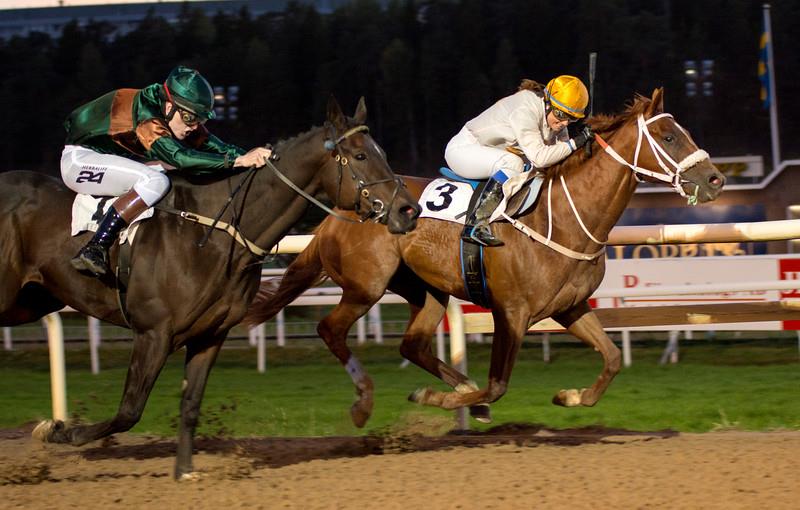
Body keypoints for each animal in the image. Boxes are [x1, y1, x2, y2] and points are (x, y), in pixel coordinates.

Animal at [0, 94, 422, 478]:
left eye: (382, 152)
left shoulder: (210, 335)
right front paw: (56, 431)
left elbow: (190, 405)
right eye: (361, 156)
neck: (215, 234)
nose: (409, 210)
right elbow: (129, 410)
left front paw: (185, 472)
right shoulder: (153, 332)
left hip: (31, 300)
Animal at [244, 88, 724, 426]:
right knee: (330, 328)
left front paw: (569, 396)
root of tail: (342, 211)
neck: (564, 218)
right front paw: (440, 399)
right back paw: (370, 402)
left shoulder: (569, 308)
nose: (716, 179)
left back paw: (460, 389)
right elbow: (497, 386)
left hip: (425, 289)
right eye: (668, 136)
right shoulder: (510, 312)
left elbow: (612, 359)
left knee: (412, 344)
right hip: (366, 285)